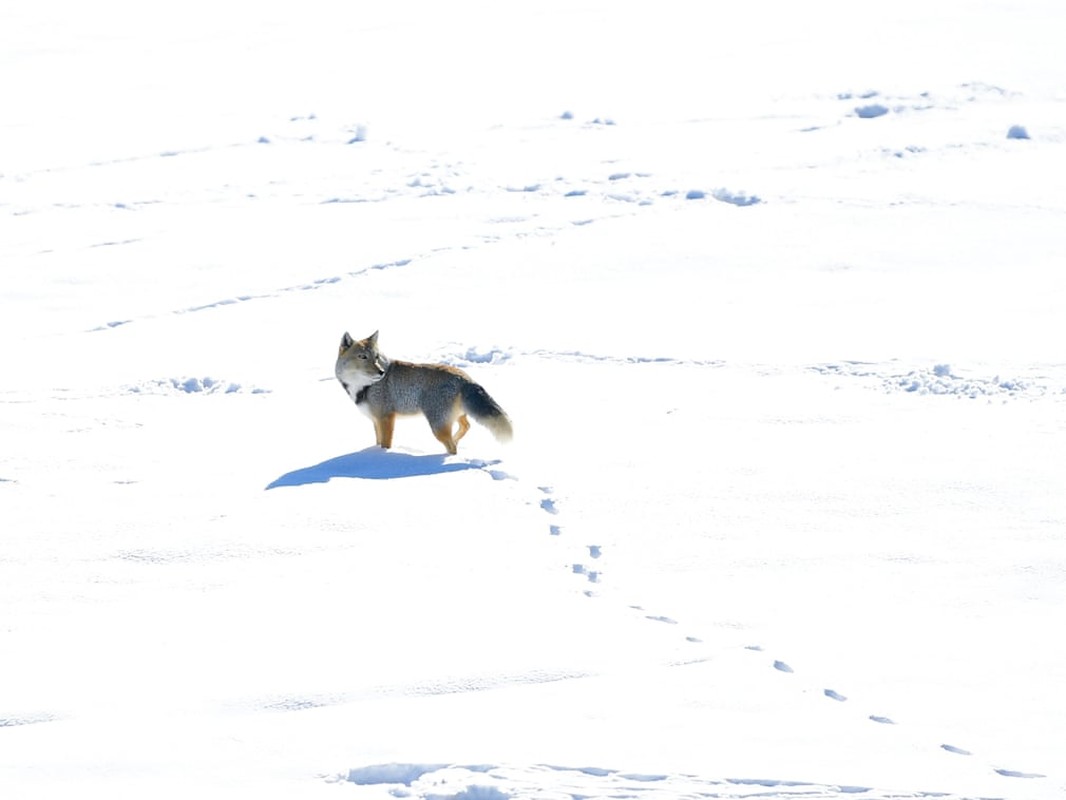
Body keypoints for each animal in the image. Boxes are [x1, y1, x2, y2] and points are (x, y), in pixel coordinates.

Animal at [334, 332, 513, 456]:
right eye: (363, 357)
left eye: (376, 357)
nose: (381, 372)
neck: (365, 386)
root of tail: (464, 378)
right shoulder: (376, 420)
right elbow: (377, 442)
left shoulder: (386, 418)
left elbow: (385, 444)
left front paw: (383, 456)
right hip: (453, 417)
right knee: (466, 426)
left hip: (437, 426)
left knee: (452, 446)